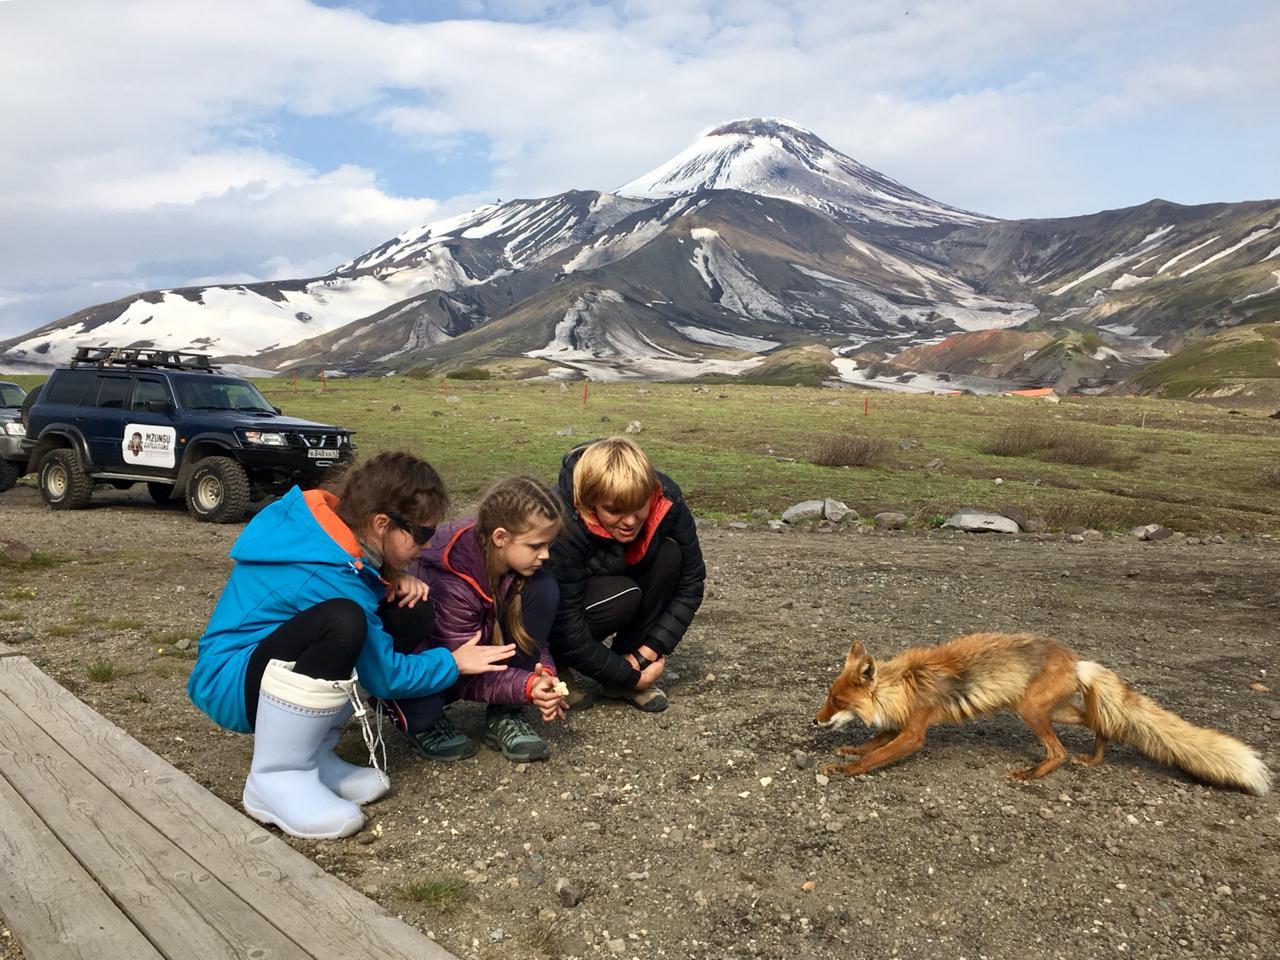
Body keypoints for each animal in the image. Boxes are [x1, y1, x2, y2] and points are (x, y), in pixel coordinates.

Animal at [819, 632, 1269, 798]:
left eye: (837, 702)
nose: (815, 721)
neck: (904, 684)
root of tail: (1076, 659)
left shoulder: (915, 731)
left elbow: (878, 755)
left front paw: (846, 769)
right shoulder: (900, 722)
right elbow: (872, 742)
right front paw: (848, 750)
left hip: (1031, 711)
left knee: (1060, 752)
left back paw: (1031, 774)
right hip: (1056, 712)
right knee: (1101, 722)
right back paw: (1096, 756)